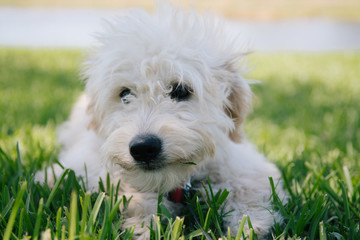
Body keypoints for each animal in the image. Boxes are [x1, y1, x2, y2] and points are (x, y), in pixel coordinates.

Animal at [38, 2, 286, 239]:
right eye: (125, 93)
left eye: (181, 90)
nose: (144, 148)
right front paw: (144, 224)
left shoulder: (242, 164)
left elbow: (247, 186)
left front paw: (250, 222)